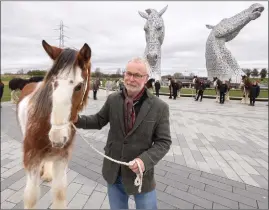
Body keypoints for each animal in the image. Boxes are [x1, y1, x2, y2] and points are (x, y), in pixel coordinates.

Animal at [17, 40, 92, 209]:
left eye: (79, 86)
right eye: (53, 84)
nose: (57, 136)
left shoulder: (61, 158)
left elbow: (59, 193)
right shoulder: (31, 157)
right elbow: (31, 196)